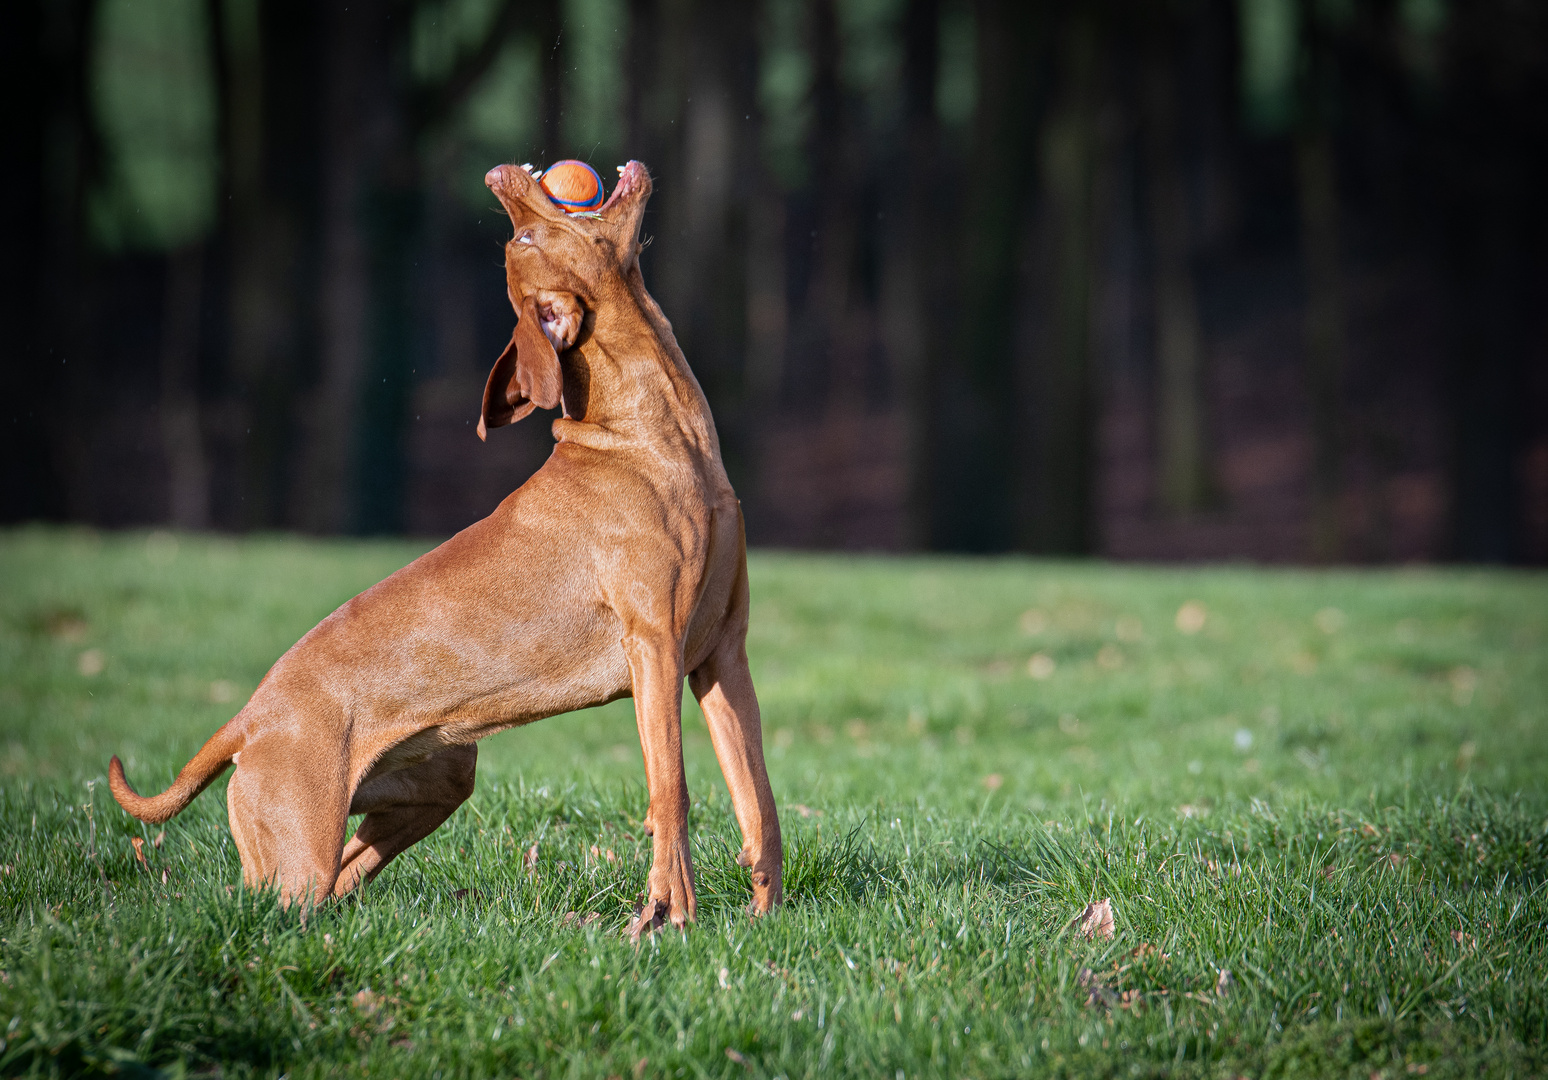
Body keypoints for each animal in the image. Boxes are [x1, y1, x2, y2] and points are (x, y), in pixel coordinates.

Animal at [107, 160, 780, 934]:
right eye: (521, 235)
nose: (497, 174)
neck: (651, 437)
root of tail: (249, 718)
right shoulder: (655, 649)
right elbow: (672, 790)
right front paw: (670, 912)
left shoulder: (721, 654)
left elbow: (758, 801)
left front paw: (767, 913)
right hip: (297, 850)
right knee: (261, 899)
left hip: (433, 786)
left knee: (338, 879)